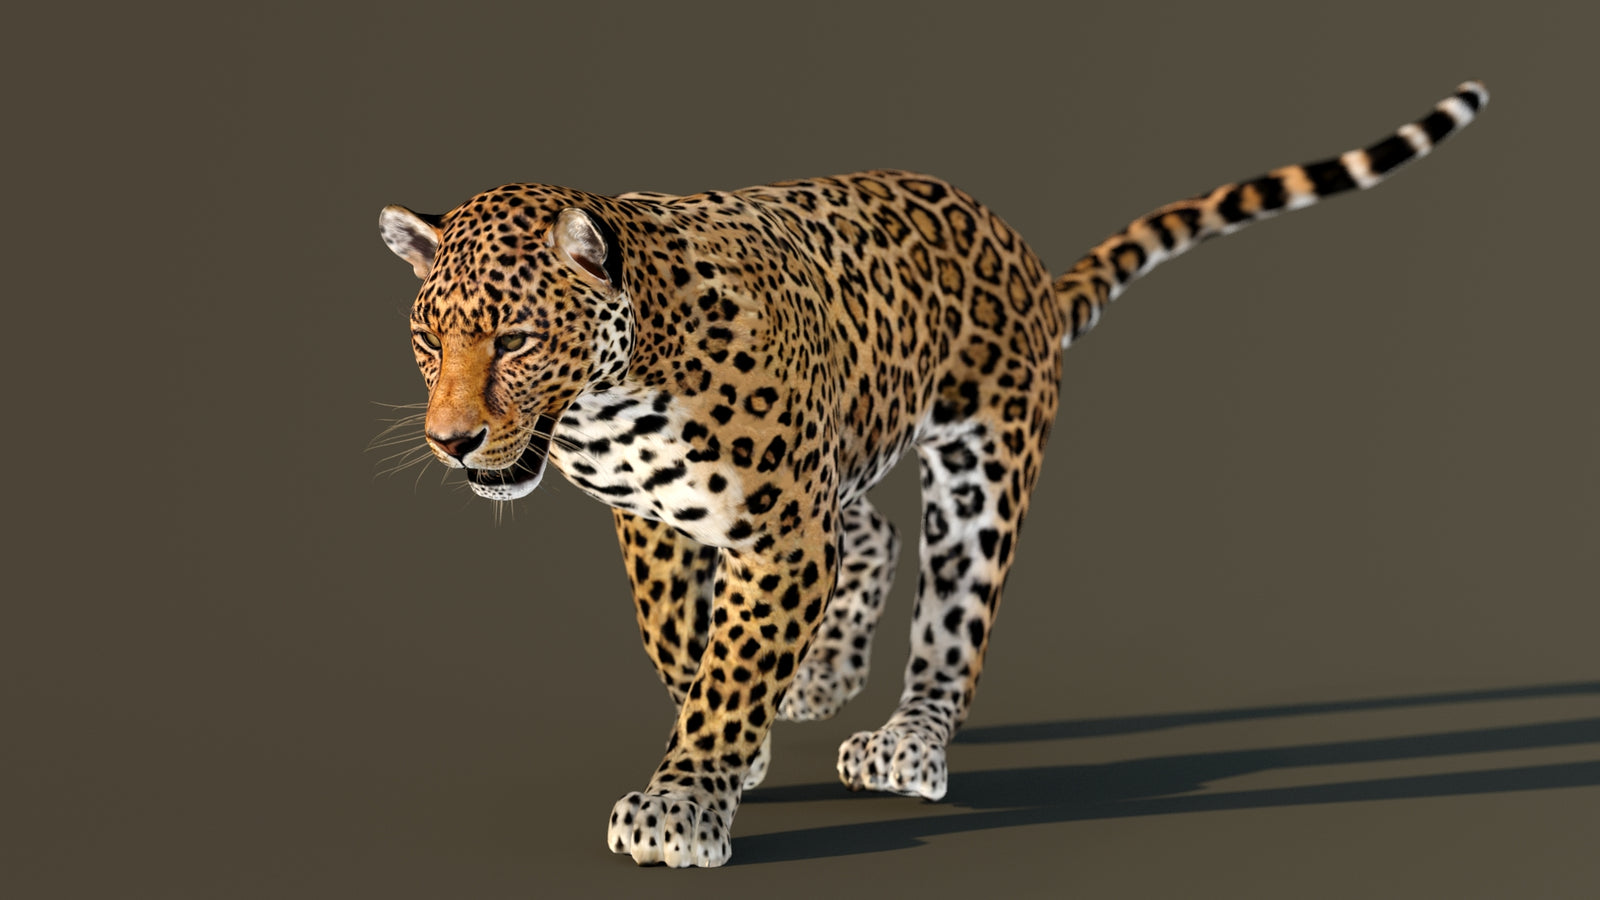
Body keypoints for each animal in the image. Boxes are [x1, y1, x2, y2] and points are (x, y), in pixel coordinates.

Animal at [376, 82, 1487, 867]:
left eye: (516, 339)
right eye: (428, 342)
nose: (452, 441)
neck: (613, 396)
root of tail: (1020, 259)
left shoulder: (778, 529)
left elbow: (731, 663)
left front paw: (684, 801)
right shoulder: (658, 521)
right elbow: (679, 641)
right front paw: (734, 739)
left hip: (979, 467)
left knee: (951, 616)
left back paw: (906, 743)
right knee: (873, 533)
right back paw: (822, 677)